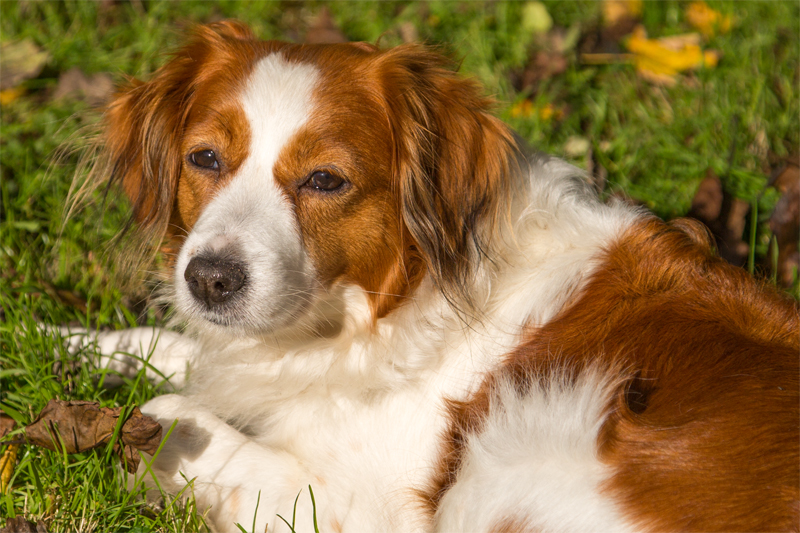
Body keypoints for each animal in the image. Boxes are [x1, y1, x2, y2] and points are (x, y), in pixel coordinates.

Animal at [70, 21, 800, 532]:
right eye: (205, 158)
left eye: (325, 180)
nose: (209, 278)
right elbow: (166, 346)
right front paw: (64, 344)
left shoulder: (362, 509)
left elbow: (177, 417)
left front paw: (125, 427)